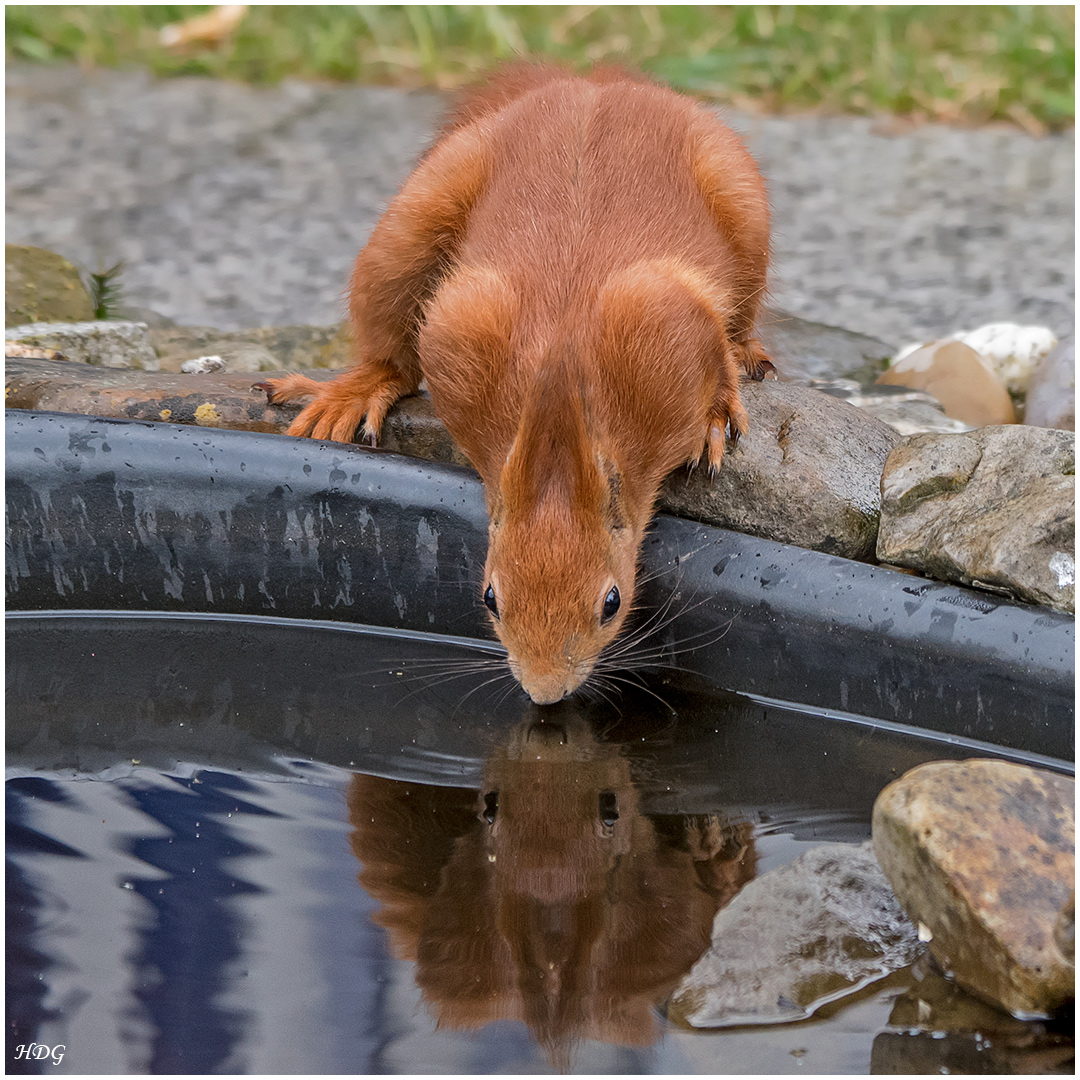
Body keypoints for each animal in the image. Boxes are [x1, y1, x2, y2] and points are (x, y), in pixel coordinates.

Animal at [259, 67, 768, 708]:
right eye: (490, 598)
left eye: (612, 603)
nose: (545, 694)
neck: (561, 395)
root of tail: (591, 84)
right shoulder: (462, 323)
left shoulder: (663, 317)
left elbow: (714, 349)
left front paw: (717, 412)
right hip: (419, 212)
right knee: (391, 353)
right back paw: (353, 392)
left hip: (741, 200)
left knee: (740, 318)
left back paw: (748, 355)